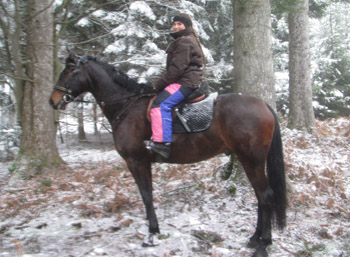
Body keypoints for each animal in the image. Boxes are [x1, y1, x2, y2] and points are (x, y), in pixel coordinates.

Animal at [49, 52, 288, 256]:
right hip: (249, 161)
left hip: (252, 160)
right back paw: (255, 238)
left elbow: (146, 195)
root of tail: (263, 104)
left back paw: (263, 245)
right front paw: (152, 229)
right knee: (260, 197)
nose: (53, 100)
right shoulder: (142, 162)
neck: (127, 106)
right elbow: (147, 194)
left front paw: (151, 234)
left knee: (265, 196)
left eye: (68, 71)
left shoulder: (136, 161)